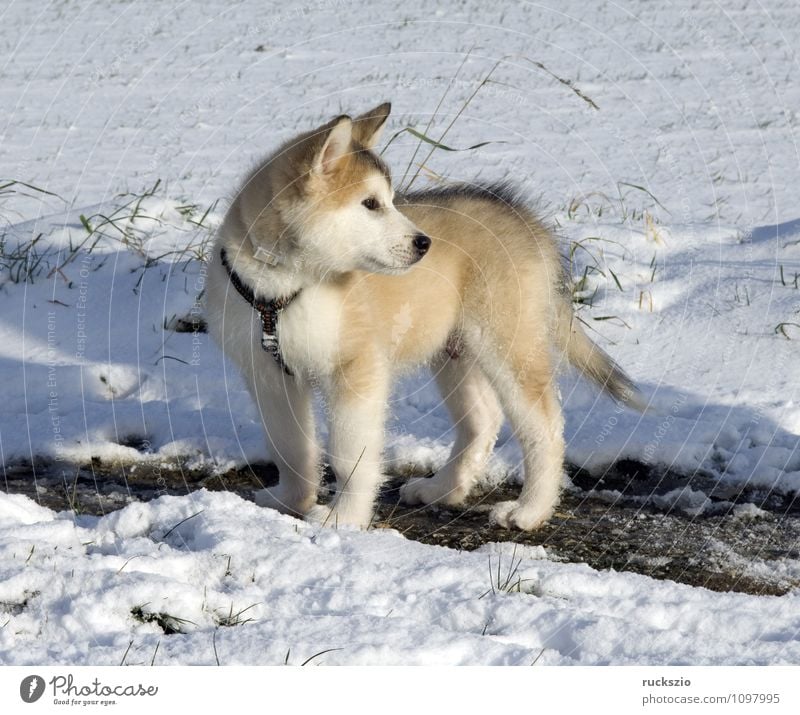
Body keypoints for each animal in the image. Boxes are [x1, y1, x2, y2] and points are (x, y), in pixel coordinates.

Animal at [203, 105, 640, 532]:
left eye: (391, 200)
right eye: (370, 204)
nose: (424, 243)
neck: (283, 288)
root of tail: (524, 219)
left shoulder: (357, 369)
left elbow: (348, 453)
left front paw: (344, 518)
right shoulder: (268, 375)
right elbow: (289, 445)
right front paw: (290, 500)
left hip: (507, 342)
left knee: (544, 428)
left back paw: (529, 511)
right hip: (455, 351)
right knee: (482, 421)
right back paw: (442, 489)